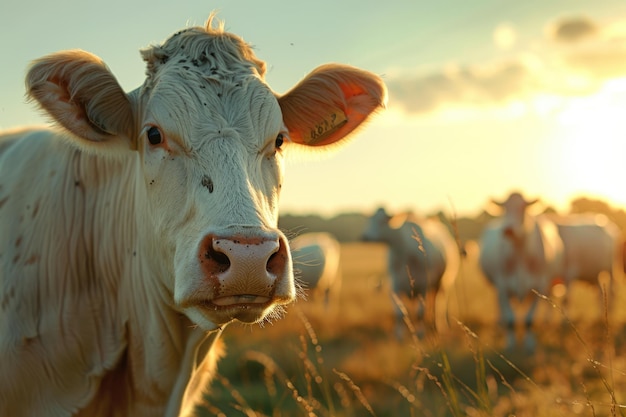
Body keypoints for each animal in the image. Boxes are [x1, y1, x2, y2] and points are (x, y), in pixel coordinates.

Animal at [360, 207, 458, 338]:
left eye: (383, 221)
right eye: (369, 220)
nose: (365, 237)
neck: (405, 253)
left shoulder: (423, 286)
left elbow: (420, 313)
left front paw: (421, 333)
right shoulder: (395, 286)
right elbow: (400, 313)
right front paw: (399, 335)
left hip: (443, 282)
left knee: (440, 304)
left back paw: (440, 325)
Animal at [478, 193, 560, 350]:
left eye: (523, 208)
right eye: (504, 208)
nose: (508, 230)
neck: (520, 251)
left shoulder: (539, 286)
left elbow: (529, 319)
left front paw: (529, 344)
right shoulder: (503, 286)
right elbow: (510, 319)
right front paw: (510, 343)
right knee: (501, 309)